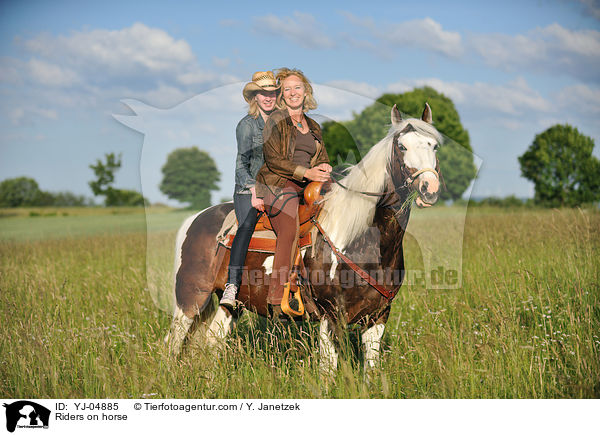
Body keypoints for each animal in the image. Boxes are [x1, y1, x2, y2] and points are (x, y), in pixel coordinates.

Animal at [164, 104, 440, 372]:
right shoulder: (330, 314)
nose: (430, 188)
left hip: (231, 303)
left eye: (434, 145)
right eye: (402, 146)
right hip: (190, 298)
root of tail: (195, 218)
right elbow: (328, 369)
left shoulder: (378, 316)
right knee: (172, 343)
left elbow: (371, 368)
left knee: (213, 339)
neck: (361, 238)